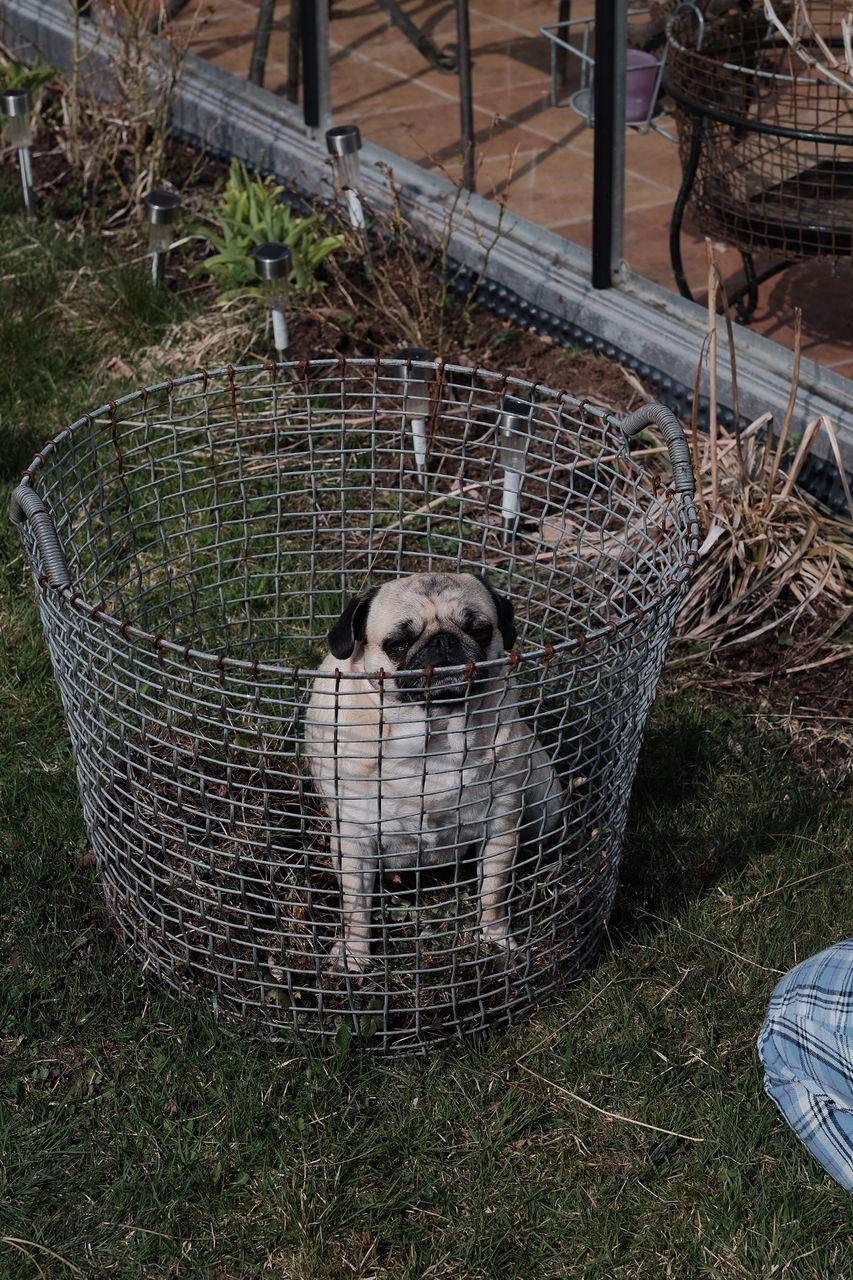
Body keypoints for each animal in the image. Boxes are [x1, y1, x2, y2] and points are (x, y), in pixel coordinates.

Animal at [302, 570, 560, 967]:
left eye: (480, 630)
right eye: (398, 643)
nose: (443, 641)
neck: (436, 731)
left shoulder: (500, 826)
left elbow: (493, 893)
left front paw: (496, 939)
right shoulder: (355, 839)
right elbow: (356, 908)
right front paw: (354, 956)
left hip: (548, 799)